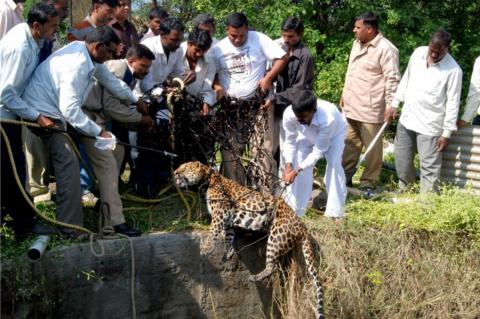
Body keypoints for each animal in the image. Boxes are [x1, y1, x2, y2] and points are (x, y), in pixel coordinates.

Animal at [173, 162, 326, 319]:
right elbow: (229, 236)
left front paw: (206, 248)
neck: (208, 179)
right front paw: (228, 252)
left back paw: (255, 277)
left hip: (276, 236)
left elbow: (213, 231)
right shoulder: (228, 219)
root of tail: (302, 226)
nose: (174, 172)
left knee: (272, 266)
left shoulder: (220, 213)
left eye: (185, 168)